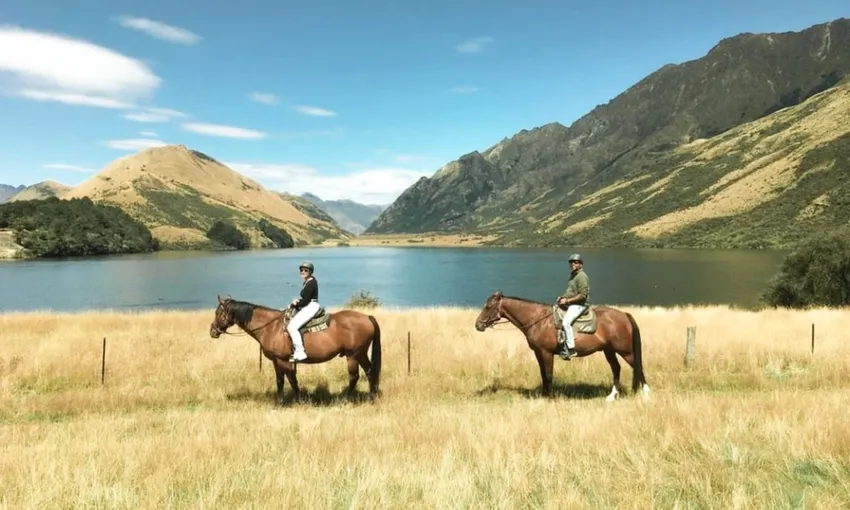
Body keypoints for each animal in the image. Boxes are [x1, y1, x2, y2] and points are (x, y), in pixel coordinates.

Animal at [209, 294, 382, 405]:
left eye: (218, 312)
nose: (213, 331)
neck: (271, 327)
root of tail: (367, 317)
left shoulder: (282, 360)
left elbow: (288, 379)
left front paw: (291, 401)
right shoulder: (279, 361)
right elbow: (285, 380)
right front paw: (288, 401)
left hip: (353, 355)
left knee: (354, 376)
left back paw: (345, 399)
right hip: (361, 354)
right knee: (370, 371)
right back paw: (372, 397)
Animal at [474, 291, 650, 401]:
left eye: (488, 306)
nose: (478, 325)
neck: (537, 320)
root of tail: (624, 315)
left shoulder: (546, 352)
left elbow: (549, 374)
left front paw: (551, 397)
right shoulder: (538, 352)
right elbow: (543, 374)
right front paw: (544, 395)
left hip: (626, 351)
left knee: (638, 367)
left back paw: (647, 393)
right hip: (609, 350)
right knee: (616, 369)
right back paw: (612, 396)